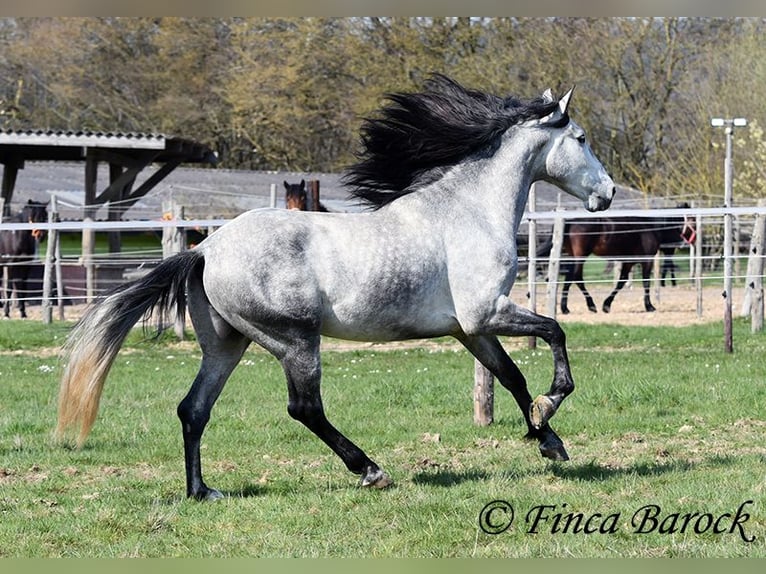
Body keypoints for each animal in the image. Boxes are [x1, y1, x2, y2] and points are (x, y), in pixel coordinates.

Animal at [55, 74, 615, 500]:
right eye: (582, 138)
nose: (607, 193)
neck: (467, 211)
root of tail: (206, 248)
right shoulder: (486, 312)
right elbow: (555, 332)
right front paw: (551, 406)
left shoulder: (470, 329)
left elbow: (513, 377)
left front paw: (547, 438)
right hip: (296, 341)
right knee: (304, 409)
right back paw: (370, 470)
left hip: (226, 345)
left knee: (194, 409)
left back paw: (202, 491)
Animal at [545, 208, 695, 314]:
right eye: (692, 221)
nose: (685, 243)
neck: (650, 227)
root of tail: (571, 221)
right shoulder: (647, 261)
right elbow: (646, 282)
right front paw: (649, 306)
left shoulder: (629, 262)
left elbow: (620, 282)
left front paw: (607, 305)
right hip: (580, 257)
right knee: (575, 277)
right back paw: (588, 306)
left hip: (574, 257)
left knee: (570, 278)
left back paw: (568, 308)